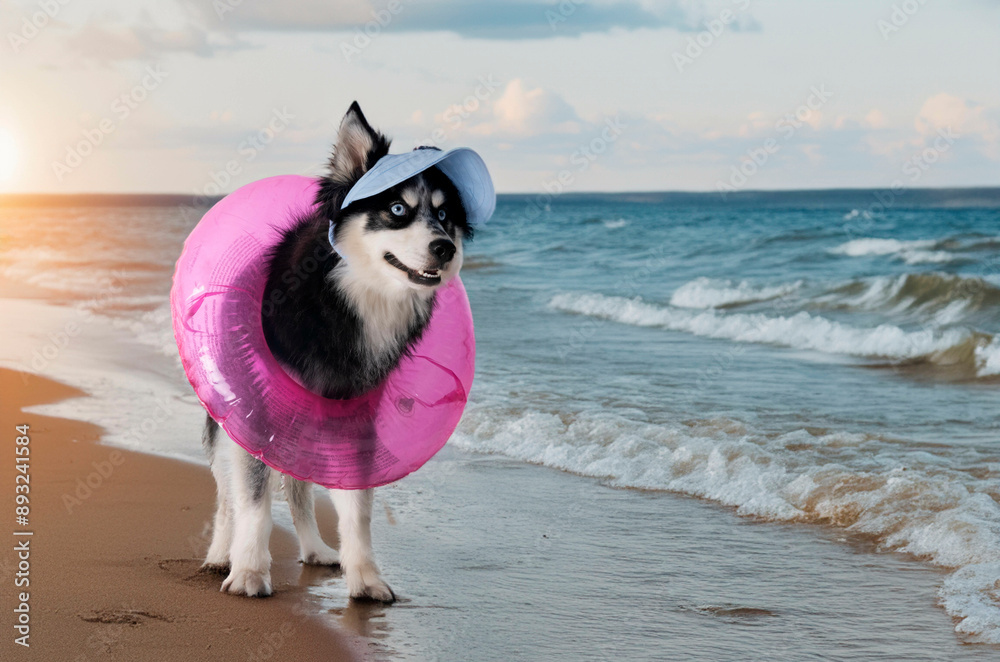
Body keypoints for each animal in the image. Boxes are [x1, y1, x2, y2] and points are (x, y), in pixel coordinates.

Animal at [201, 102, 474, 600]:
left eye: (445, 216)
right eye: (397, 208)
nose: (445, 249)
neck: (347, 298)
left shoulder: (354, 415)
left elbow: (356, 507)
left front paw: (365, 577)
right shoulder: (255, 409)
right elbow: (252, 499)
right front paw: (248, 570)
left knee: (298, 488)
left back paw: (315, 549)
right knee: (229, 493)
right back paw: (219, 554)